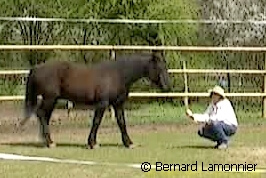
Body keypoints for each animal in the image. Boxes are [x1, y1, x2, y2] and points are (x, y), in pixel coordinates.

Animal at [18, 50, 170, 149]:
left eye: (165, 66)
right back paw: (50, 142)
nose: (167, 86)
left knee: (44, 116)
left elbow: (121, 122)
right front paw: (93, 143)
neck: (118, 74)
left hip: (51, 100)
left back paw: (46, 141)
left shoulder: (118, 104)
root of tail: (36, 68)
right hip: (50, 99)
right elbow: (96, 122)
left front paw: (129, 143)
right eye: (159, 67)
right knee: (42, 114)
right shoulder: (102, 103)